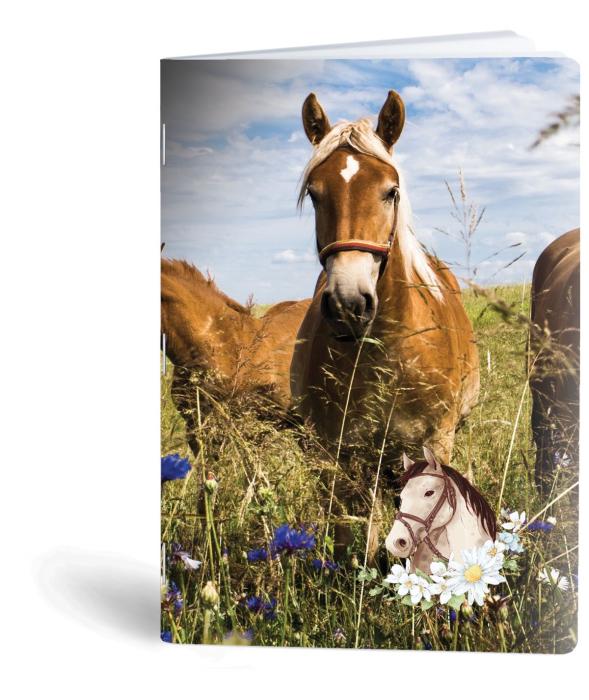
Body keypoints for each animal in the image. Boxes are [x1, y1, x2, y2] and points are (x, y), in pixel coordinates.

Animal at [290, 91, 480, 553]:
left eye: (390, 191)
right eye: (315, 194)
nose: (348, 303)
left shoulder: (436, 442)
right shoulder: (335, 453)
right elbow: (345, 534)